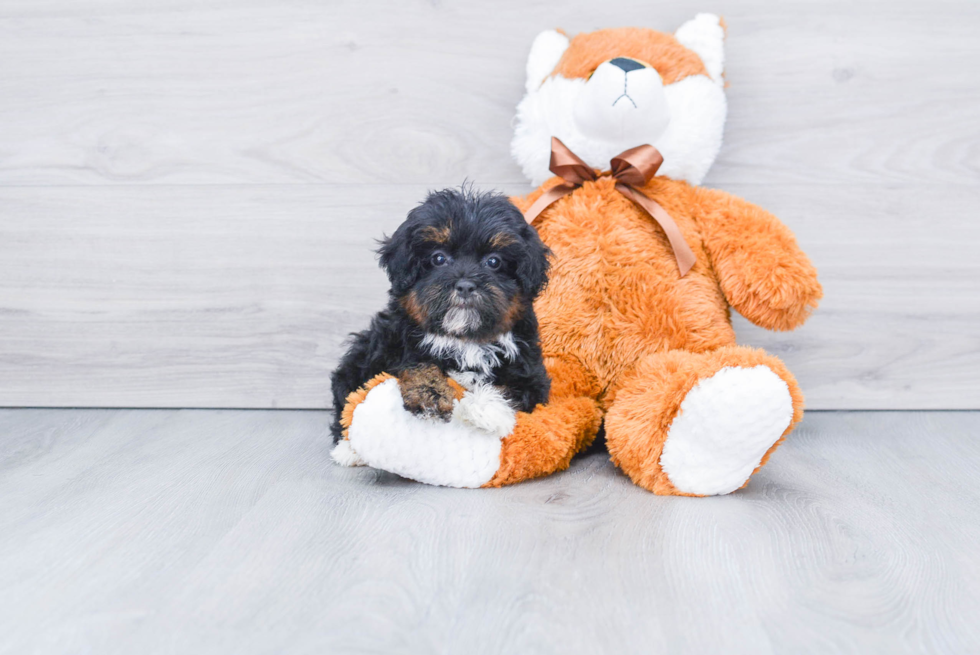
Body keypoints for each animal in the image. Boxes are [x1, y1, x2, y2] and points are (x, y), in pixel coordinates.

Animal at [332, 186, 552, 440]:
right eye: (438, 258)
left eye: (494, 261)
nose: (465, 285)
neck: (464, 340)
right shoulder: (397, 348)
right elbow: (419, 366)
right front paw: (430, 396)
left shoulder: (531, 375)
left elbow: (511, 388)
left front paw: (483, 409)